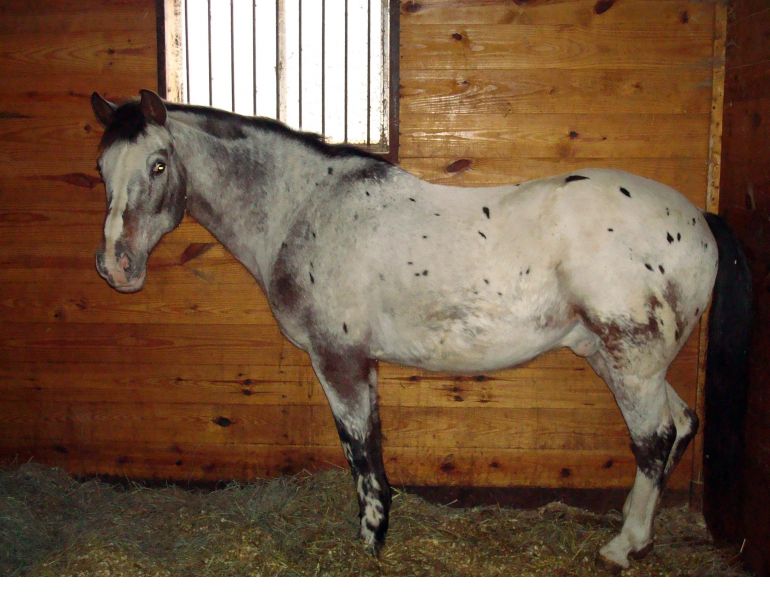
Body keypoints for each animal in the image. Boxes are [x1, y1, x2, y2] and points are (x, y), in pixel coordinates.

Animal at [90, 89, 750, 570]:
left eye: (158, 165)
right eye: (101, 168)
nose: (116, 267)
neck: (305, 209)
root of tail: (699, 218)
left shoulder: (339, 358)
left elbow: (360, 449)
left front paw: (371, 540)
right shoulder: (361, 363)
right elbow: (372, 445)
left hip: (631, 359)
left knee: (654, 438)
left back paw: (622, 546)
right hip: (621, 360)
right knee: (681, 424)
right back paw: (638, 534)